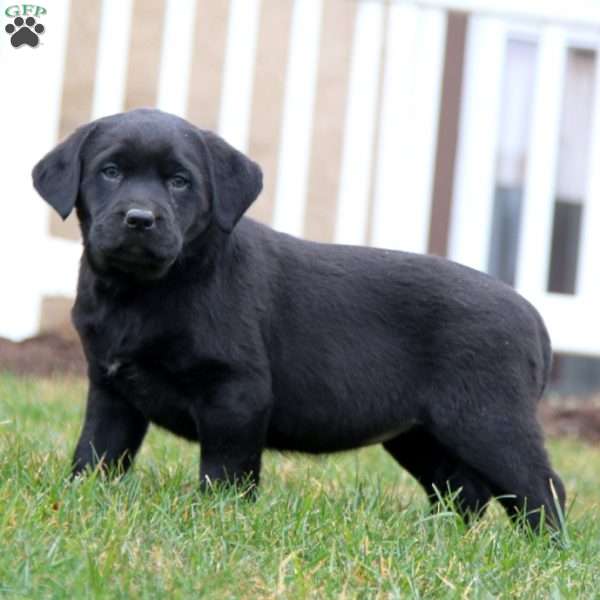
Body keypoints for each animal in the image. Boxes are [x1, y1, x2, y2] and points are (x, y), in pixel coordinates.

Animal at [32, 110, 564, 532]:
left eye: (180, 181)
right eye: (110, 172)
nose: (140, 219)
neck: (145, 290)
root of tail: (533, 315)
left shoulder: (236, 394)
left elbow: (225, 471)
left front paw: (217, 520)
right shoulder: (111, 390)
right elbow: (96, 453)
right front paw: (80, 501)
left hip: (488, 419)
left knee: (541, 489)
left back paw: (543, 552)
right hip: (418, 433)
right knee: (462, 489)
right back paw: (440, 538)